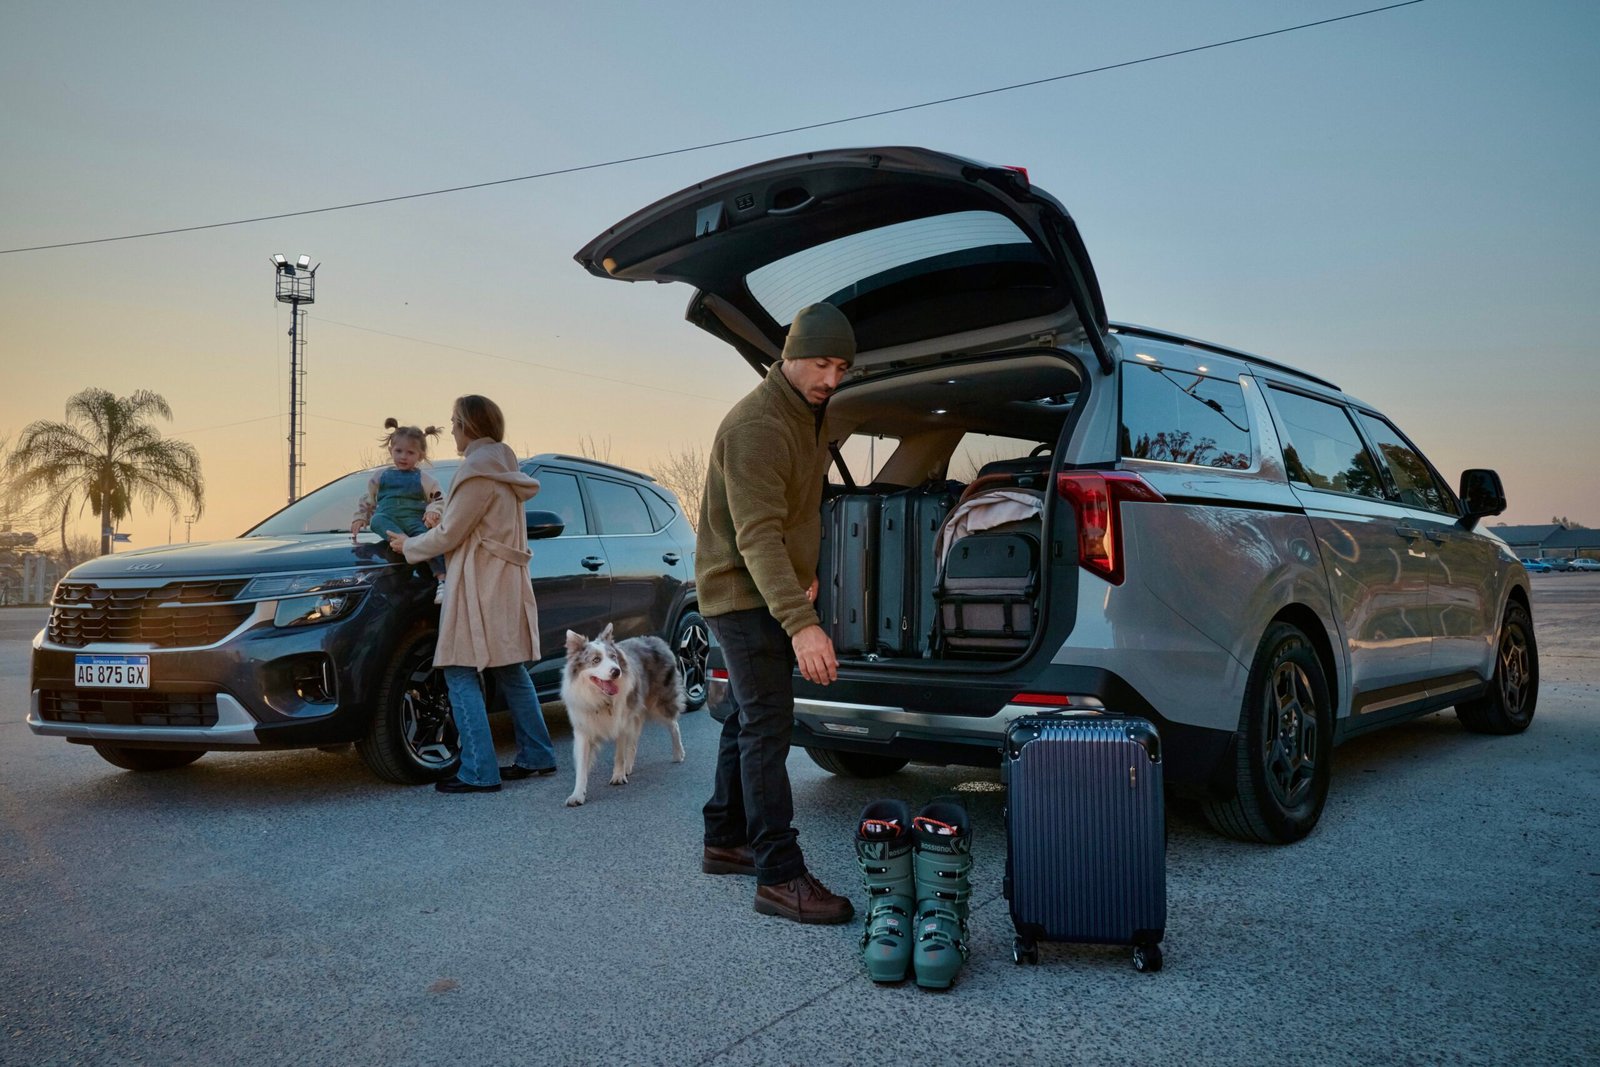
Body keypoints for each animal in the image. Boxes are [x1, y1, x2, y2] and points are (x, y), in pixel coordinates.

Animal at [560, 624, 686, 807]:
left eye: (613, 657)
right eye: (596, 660)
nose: (616, 671)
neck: (602, 699)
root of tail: (655, 639)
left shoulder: (621, 722)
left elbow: (619, 754)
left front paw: (618, 776)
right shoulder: (584, 730)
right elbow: (582, 767)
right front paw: (577, 794)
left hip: (660, 702)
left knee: (673, 725)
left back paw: (678, 754)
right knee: (634, 741)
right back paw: (629, 766)